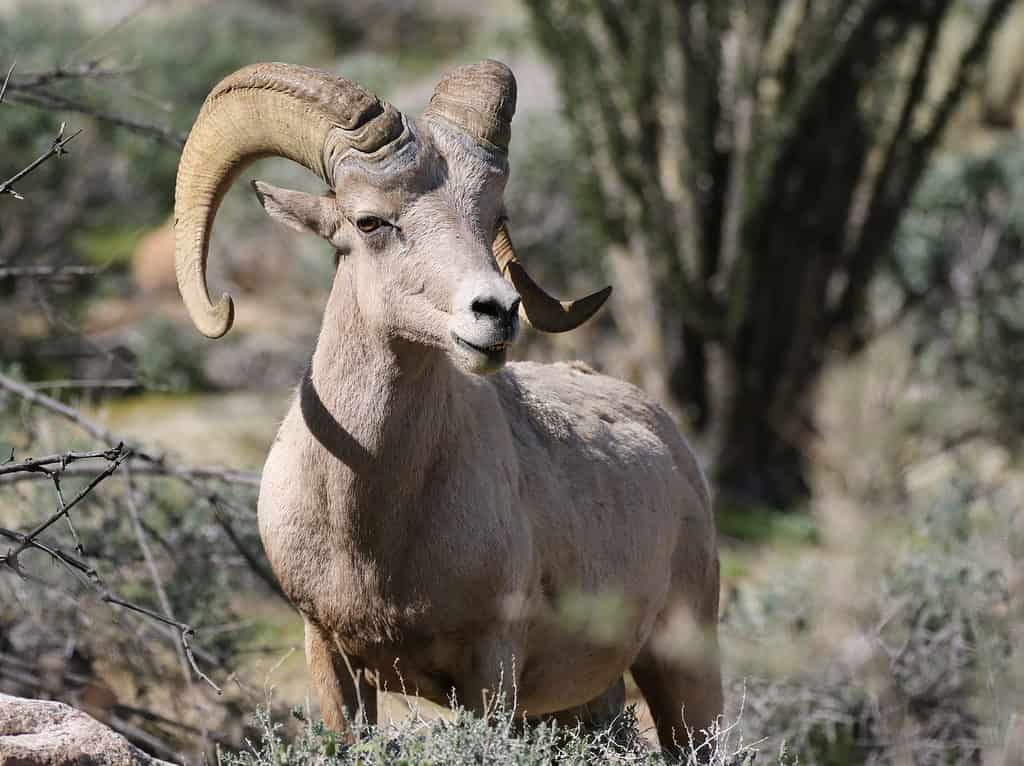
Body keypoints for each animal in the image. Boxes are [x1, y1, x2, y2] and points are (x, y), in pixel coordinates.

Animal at [174, 59, 720, 753]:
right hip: (589, 702)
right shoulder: (331, 659)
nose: (496, 313)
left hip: (684, 669)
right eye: (370, 222)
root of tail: (670, 443)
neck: (371, 524)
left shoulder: (490, 669)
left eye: (490, 217)